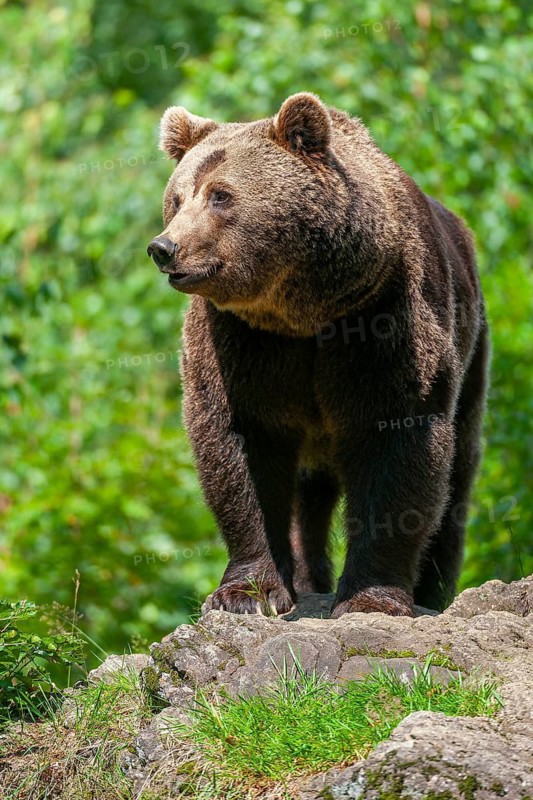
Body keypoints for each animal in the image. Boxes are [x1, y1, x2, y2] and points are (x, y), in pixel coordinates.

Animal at [147, 92, 489, 618]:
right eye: (178, 197)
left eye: (221, 195)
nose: (165, 247)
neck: (301, 313)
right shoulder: (239, 342)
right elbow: (240, 451)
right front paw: (247, 594)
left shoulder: (384, 319)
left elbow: (400, 446)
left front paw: (371, 598)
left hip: (472, 351)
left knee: (457, 478)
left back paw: (433, 590)